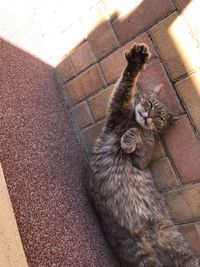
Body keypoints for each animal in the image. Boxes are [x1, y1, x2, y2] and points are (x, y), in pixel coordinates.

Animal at [89, 43, 198, 266]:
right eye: (150, 104)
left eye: (159, 118)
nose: (148, 117)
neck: (133, 120)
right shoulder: (117, 111)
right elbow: (126, 84)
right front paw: (137, 60)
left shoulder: (142, 160)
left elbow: (138, 134)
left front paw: (130, 139)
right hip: (138, 252)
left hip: (166, 247)